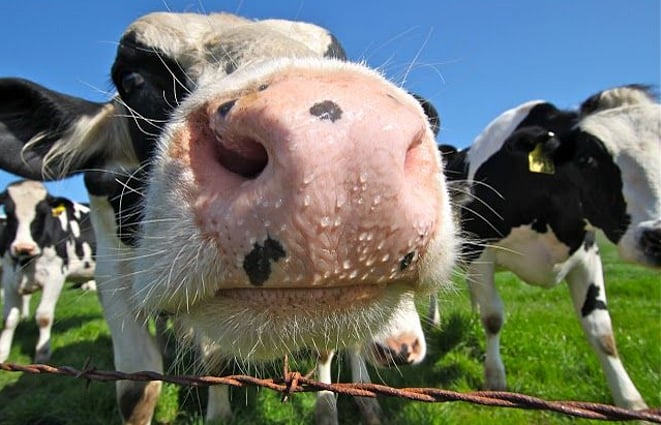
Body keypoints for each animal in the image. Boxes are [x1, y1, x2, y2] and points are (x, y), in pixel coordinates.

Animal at [0, 179, 96, 363]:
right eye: (8, 211)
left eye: (42, 213)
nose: (24, 247)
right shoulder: (9, 278)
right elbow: (9, 319)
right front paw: (2, 353)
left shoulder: (55, 275)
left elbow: (43, 316)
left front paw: (42, 354)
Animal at [436, 84, 659, 410]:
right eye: (587, 159)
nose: (657, 236)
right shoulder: (481, 249)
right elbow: (493, 318)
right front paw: (495, 379)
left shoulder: (587, 254)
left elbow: (601, 330)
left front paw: (630, 401)